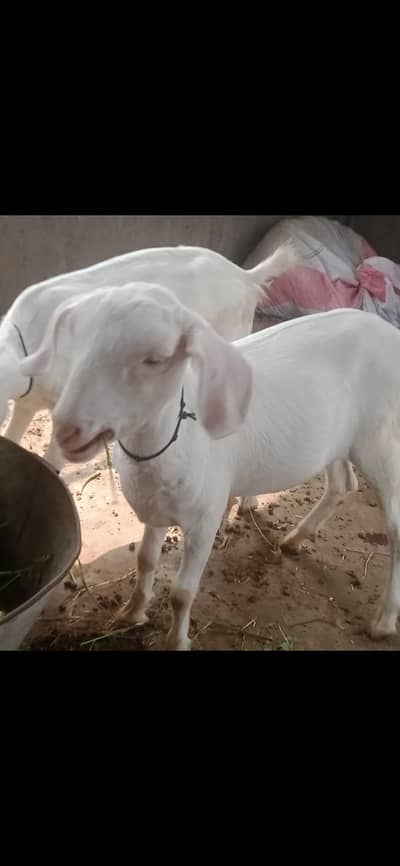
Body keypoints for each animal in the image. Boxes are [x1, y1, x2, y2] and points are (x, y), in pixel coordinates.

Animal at [21, 284, 400, 649]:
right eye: (76, 348)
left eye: (154, 359)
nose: (67, 430)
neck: (174, 441)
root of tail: (387, 332)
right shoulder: (156, 509)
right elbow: (145, 560)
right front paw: (132, 613)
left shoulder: (204, 519)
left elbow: (181, 594)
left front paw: (176, 642)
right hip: (337, 442)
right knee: (342, 484)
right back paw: (295, 540)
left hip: (381, 442)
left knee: (395, 524)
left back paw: (383, 622)